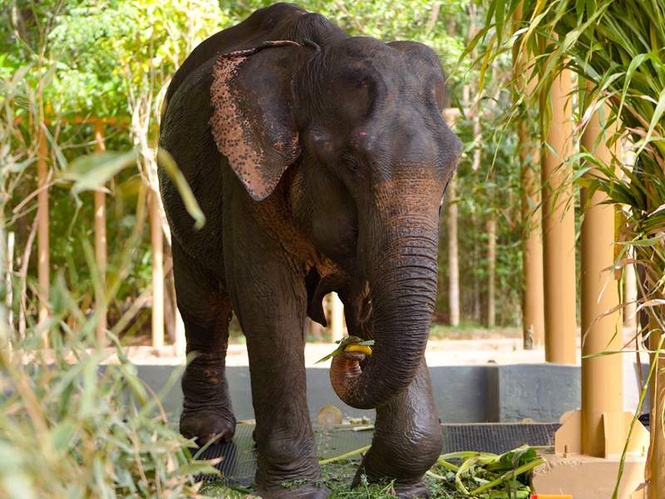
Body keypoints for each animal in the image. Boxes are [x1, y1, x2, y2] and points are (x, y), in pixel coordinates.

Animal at [158, 3, 461, 498]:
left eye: (453, 164)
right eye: (352, 164)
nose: (353, 354)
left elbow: (373, 306)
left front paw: (395, 485)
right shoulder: (245, 176)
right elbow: (269, 300)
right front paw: (297, 490)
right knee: (203, 306)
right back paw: (208, 436)